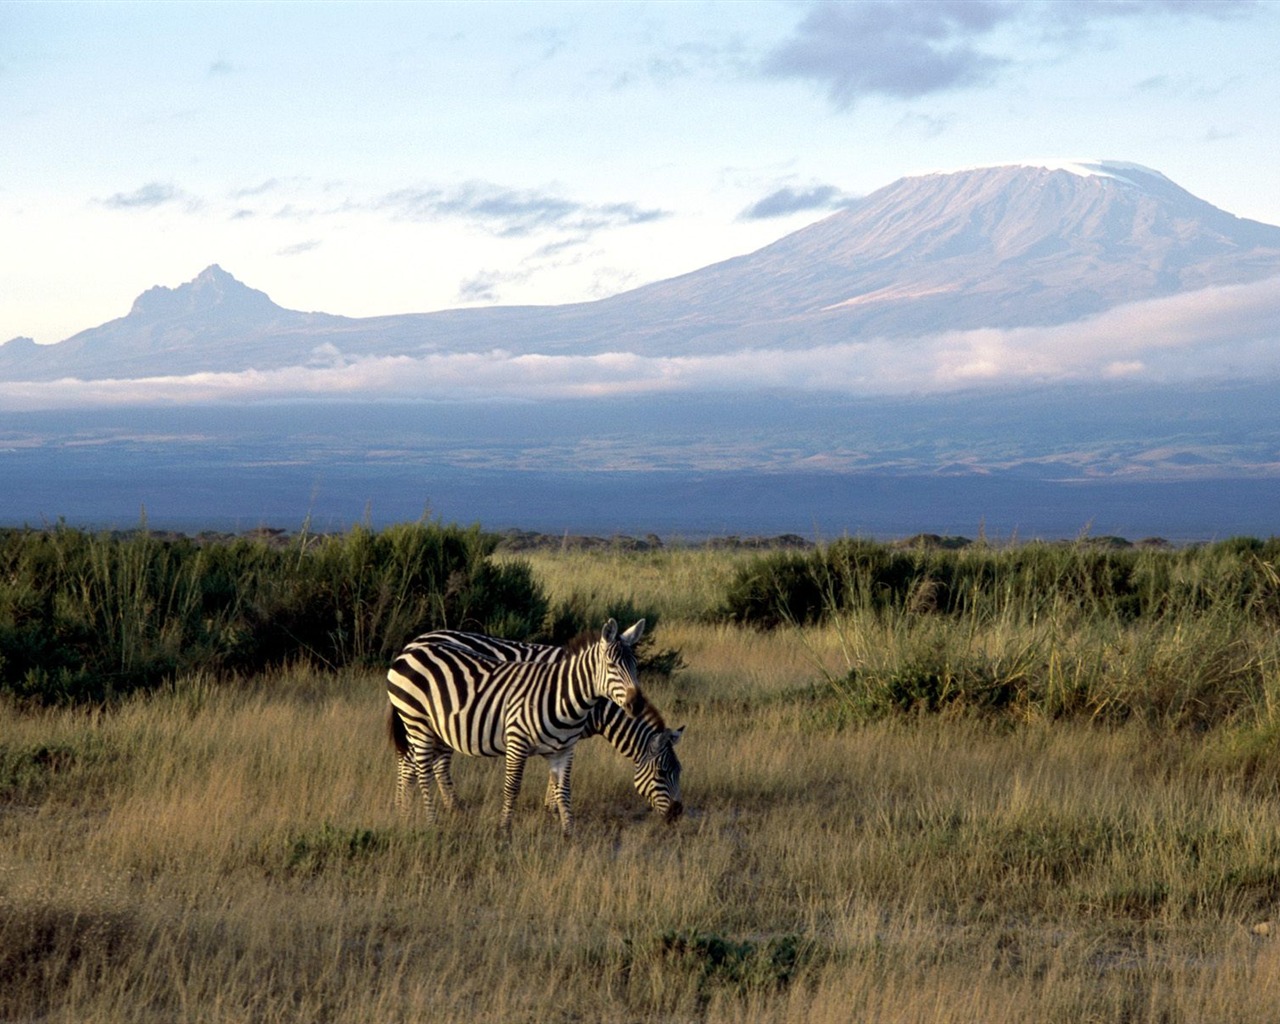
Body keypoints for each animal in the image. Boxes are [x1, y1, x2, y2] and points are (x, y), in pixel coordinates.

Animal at [394, 624, 686, 829]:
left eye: (678, 772)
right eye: (661, 773)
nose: (677, 814)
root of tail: (414, 642)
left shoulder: (565, 738)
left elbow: (557, 777)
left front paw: (554, 808)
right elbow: (552, 780)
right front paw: (551, 808)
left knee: (428, 762)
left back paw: (432, 809)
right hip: (423, 721)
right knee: (417, 762)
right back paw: (419, 810)